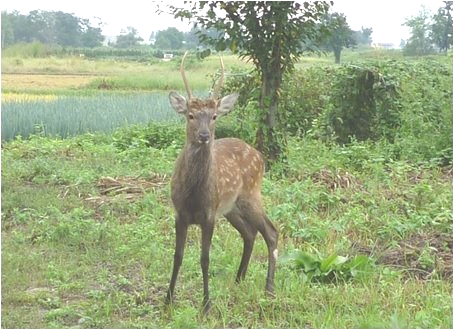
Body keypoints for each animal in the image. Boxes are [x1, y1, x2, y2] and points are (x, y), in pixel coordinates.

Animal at [164, 51, 276, 312]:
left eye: (214, 116)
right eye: (191, 115)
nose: (204, 135)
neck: (193, 195)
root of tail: (260, 156)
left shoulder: (209, 214)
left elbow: (205, 258)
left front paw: (206, 304)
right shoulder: (179, 213)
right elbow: (177, 256)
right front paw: (168, 299)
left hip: (250, 195)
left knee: (271, 231)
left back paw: (269, 289)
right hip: (231, 207)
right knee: (250, 233)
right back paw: (239, 279)